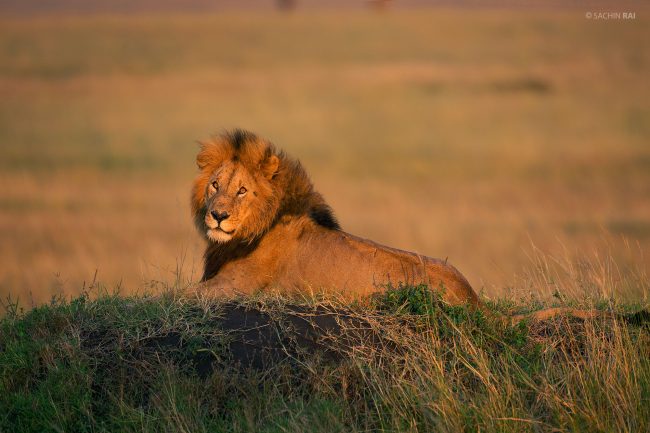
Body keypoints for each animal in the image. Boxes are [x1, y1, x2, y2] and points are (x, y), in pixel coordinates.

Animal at [191, 129, 645, 323]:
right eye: (215, 185)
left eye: (242, 191)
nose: (218, 214)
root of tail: (473, 298)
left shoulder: (236, 289)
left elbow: (181, 295)